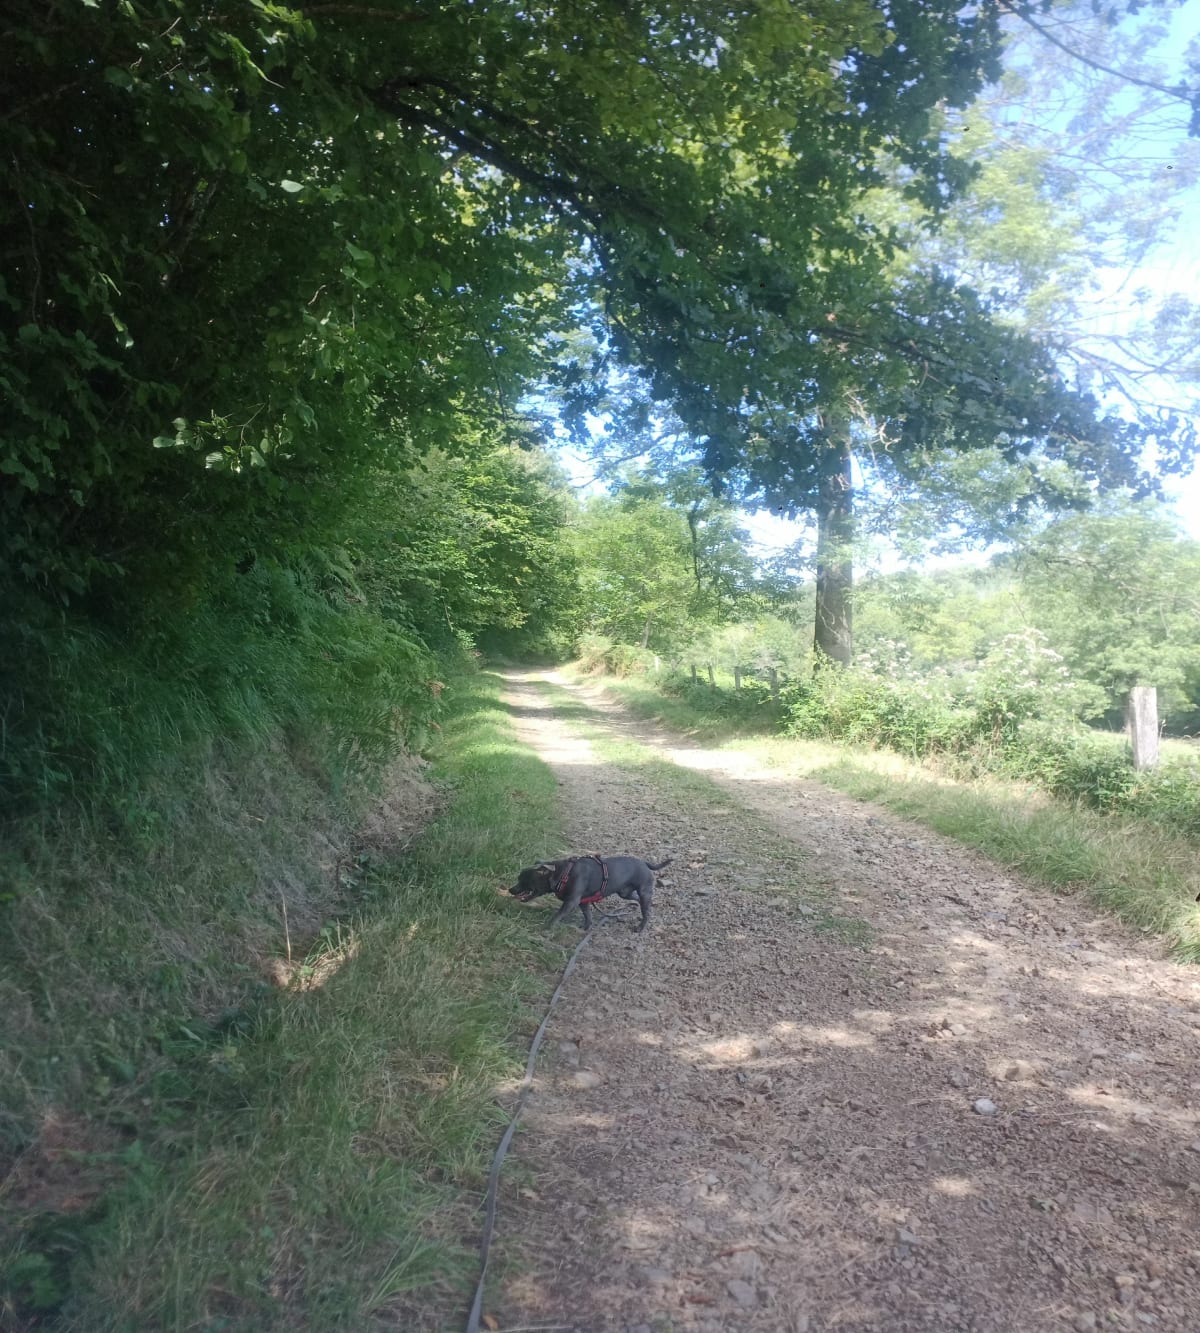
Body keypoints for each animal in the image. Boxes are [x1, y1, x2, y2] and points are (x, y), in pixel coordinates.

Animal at [508, 854, 671, 932]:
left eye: (524, 880)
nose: (510, 890)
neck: (563, 874)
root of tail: (645, 863)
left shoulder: (571, 902)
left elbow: (558, 915)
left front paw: (548, 927)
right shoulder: (583, 902)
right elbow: (588, 916)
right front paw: (586, 928)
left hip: (644, 891)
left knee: (646, 911)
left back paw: (640, 927)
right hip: (625, 893)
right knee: (637, 899)